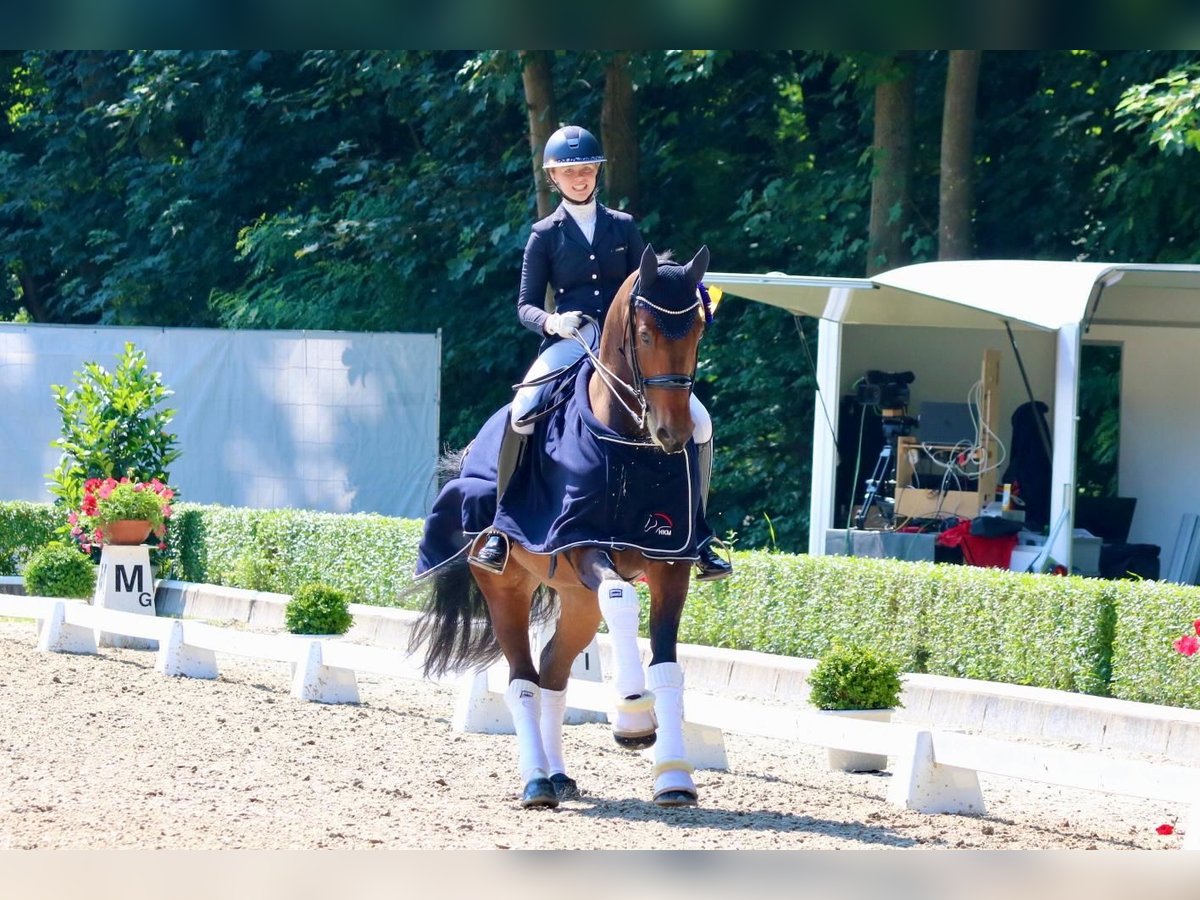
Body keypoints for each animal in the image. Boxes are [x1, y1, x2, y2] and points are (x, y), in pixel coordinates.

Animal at [410, 244, 710, 811]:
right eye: (644, 334)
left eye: (699, 330)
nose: (673, 434)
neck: (626, 442)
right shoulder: (582, 543)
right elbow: (622, 597)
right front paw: (633, 718)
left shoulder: (671, 560)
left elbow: (667, 667)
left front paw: (674, 778)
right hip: (505, 587)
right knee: (523, 680)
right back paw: (536, 783)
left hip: (576, 601)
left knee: (552, 673)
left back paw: (558, 775)